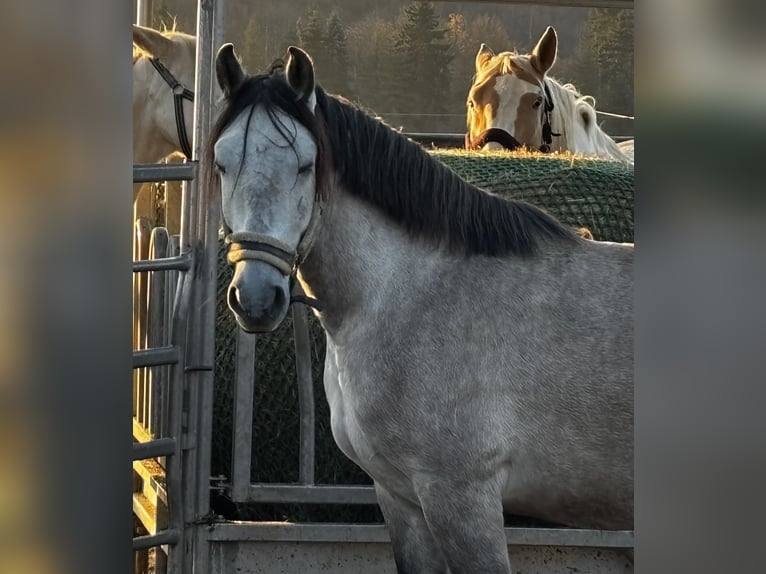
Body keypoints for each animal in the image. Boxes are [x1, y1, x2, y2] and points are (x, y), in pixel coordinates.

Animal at [210, 44, 634, 574]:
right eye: (221, 164)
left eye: (306, 166)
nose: (255, 298)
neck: (411, 292)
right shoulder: (401, 498)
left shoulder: (461, 497)